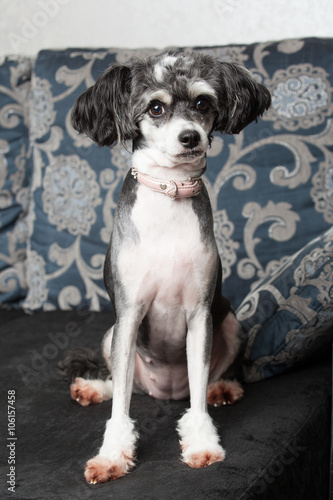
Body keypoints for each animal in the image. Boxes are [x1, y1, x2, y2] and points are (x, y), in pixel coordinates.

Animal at [64, 51, 270, 484]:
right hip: (111, 336)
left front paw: (202, 442)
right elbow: (120, 408)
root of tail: (165, 393)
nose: (190, 136)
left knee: (205, 382)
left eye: (203, 103)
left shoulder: (199, 314)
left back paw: (223, 389)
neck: (169, 193)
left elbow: (198, 398)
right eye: (155, 108)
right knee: (122, 385)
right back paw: (92, 388)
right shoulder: (128, 315)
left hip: (230, 323)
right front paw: (112, 455)